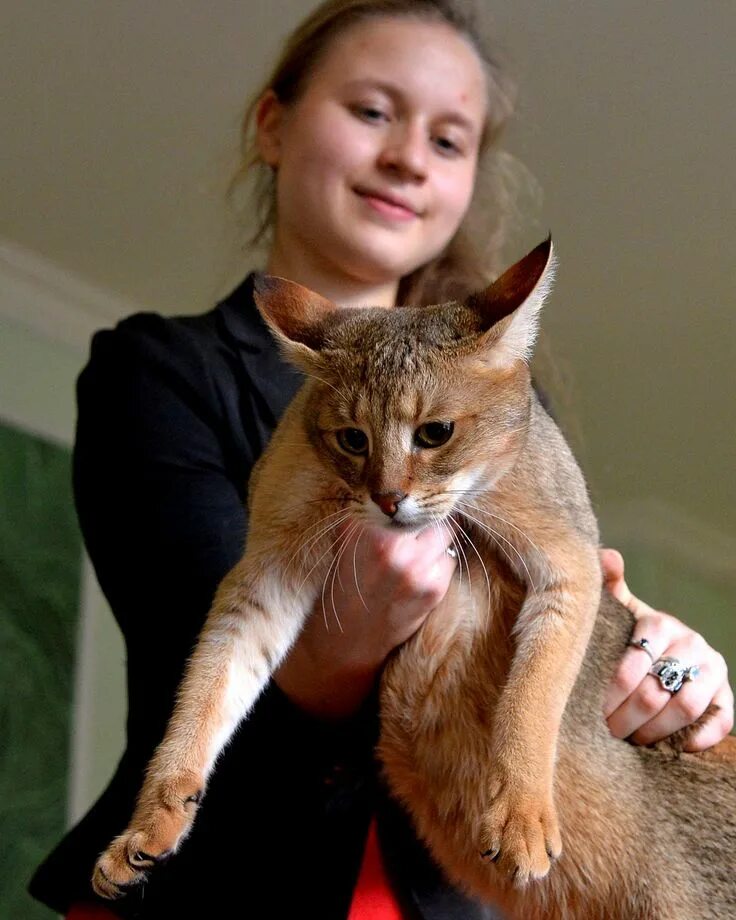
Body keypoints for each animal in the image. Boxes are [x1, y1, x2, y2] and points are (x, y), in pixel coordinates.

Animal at [93, 241, 736, 916]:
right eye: (352, 439)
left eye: (436, 433)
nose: (388, 498)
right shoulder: (263, 575)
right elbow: (206, 690)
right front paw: (149, 825)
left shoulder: (571, 560)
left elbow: (532, 697)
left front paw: (522, 815)